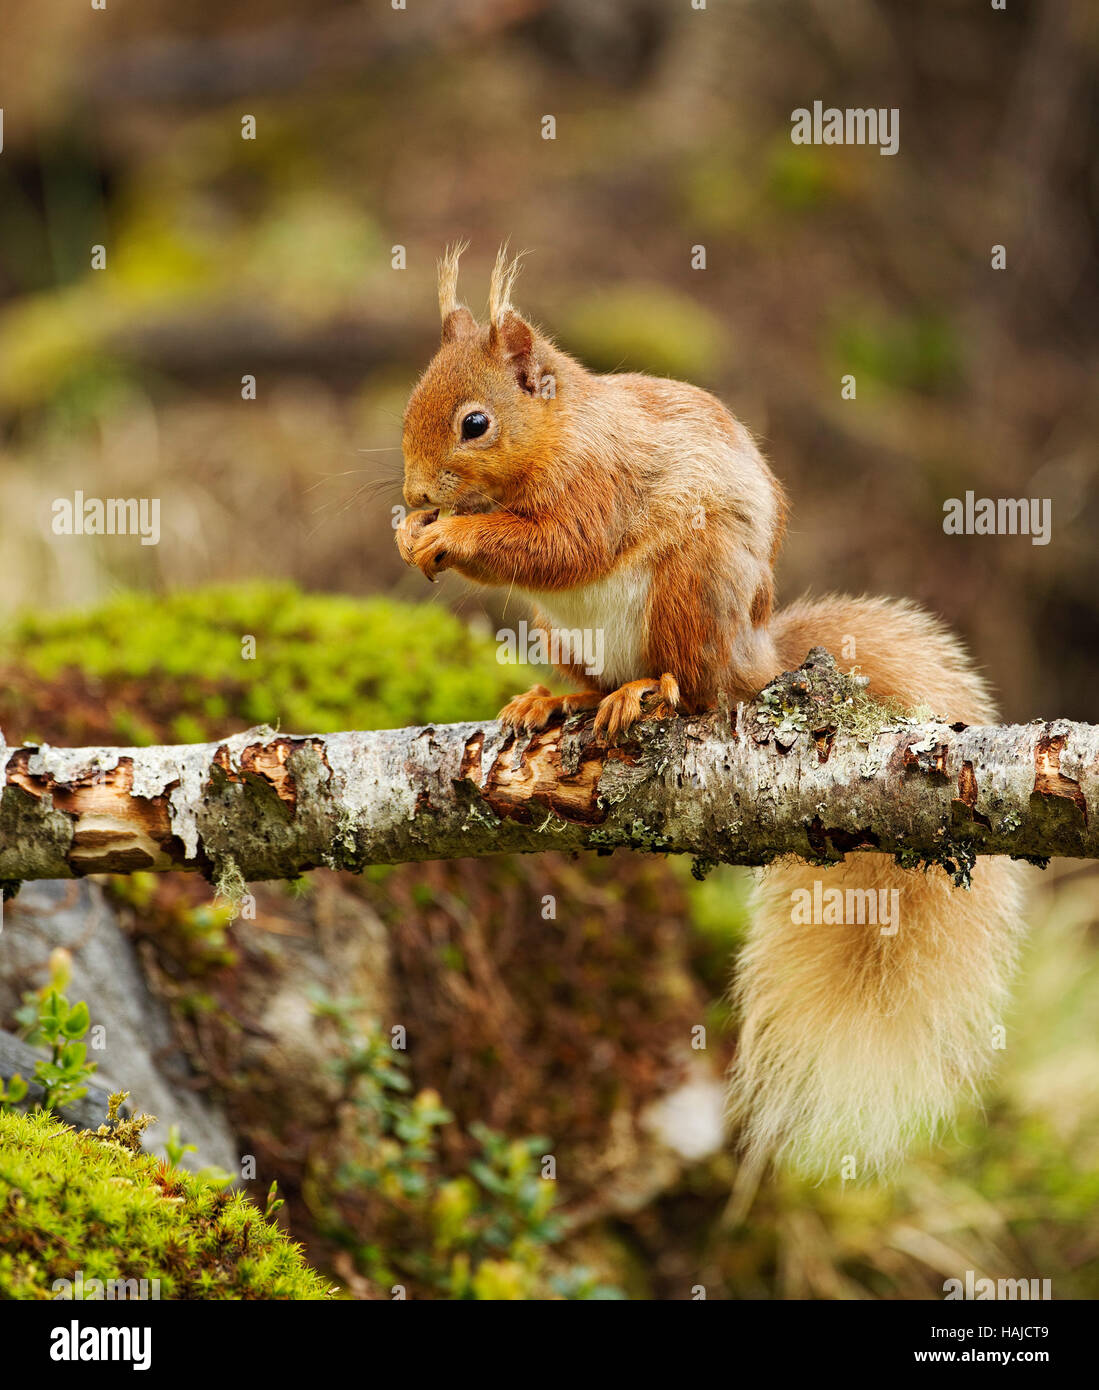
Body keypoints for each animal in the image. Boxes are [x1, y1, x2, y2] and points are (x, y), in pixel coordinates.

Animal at [400, 244, 1028, 1178]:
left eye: (474, 423)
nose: (411, 495)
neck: (564, 430)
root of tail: (752, 654)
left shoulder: (601, 487)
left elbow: (558, 545)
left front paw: (449, 537)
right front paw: (411, 537)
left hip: (690, 587)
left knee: (695, 692)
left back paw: (647, 693)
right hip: (563, 632)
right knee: (590, 680)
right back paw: (552, 699)